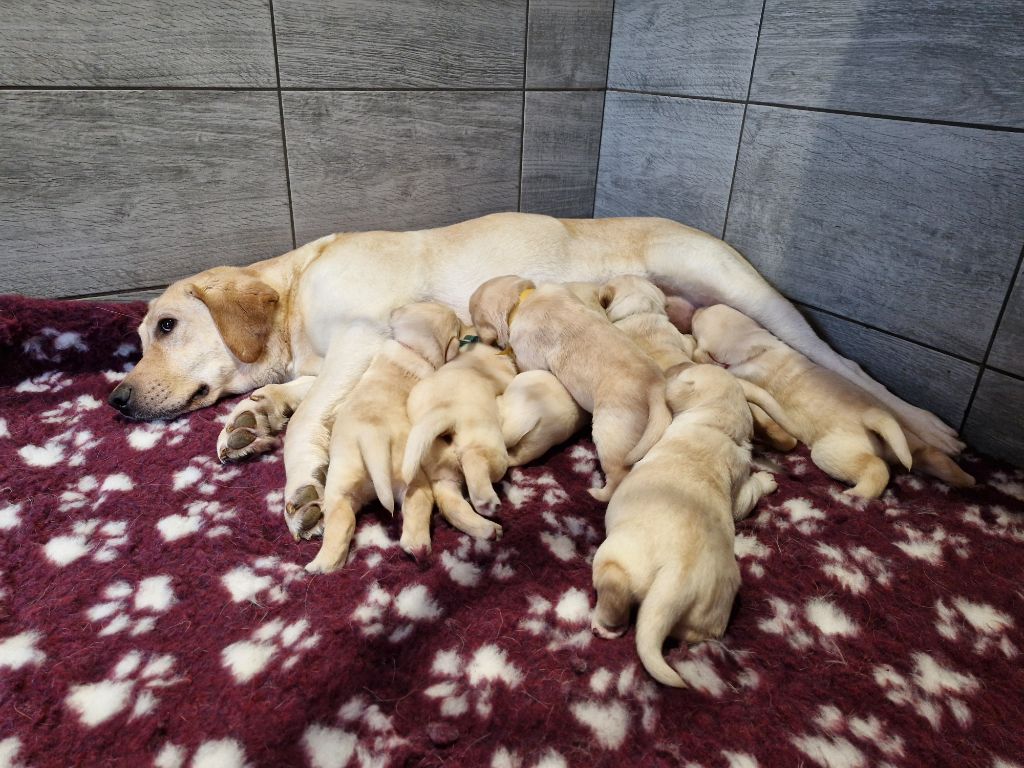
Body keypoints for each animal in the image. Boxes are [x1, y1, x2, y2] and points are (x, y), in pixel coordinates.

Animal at [401, 335, 516, 518]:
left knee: (451, 502)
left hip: (441, 471)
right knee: (473, 457)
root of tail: (442, 412)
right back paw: (487, 503)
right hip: (490, 446)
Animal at [468, 274, 671, 501]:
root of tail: (656, 386)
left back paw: (597, 493)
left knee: (618, 473)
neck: (522, 300)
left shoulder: (528, 355)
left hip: (611, 428)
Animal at [593, 364, 774, 688]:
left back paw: (605, 626)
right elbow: (744, 498)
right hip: (708, 615)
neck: (716, 426)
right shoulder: (739, 481)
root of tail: (678, 577)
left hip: (617, 557)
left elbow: (747, 498)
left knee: (614, 589)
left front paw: (767, 479)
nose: (671, 367)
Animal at [692, 303, 970, 495]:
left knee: (876, 470)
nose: (696, 308)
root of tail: (873, 421)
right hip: (905, 438)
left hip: (834, 452)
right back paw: (966, 479)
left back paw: (856, 496)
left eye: (697, 322)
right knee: (929, 454)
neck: (758, 349)